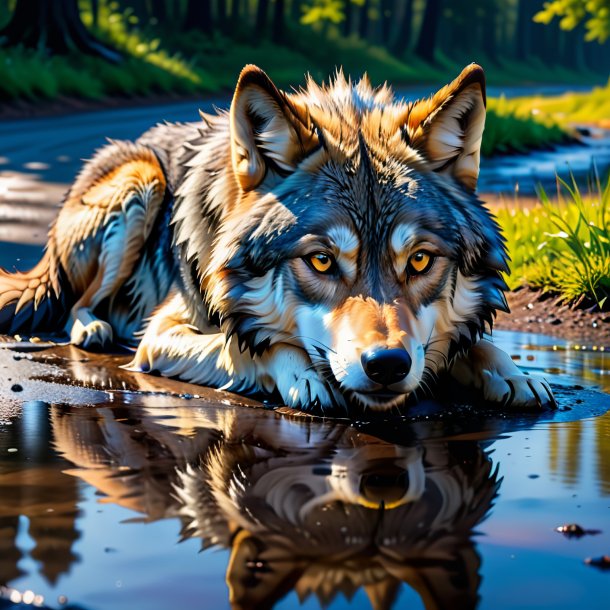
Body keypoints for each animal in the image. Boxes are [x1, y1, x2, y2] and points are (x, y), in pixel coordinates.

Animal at [0, 63, 552, 414]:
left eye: (419, 261)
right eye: (322, 261)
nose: (387, 366)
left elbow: (470, 346)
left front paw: (513, 372)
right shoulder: (161, 334)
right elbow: (244, 345)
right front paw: (300, 372)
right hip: (142, 182)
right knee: (77, 301)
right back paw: (92, 329)